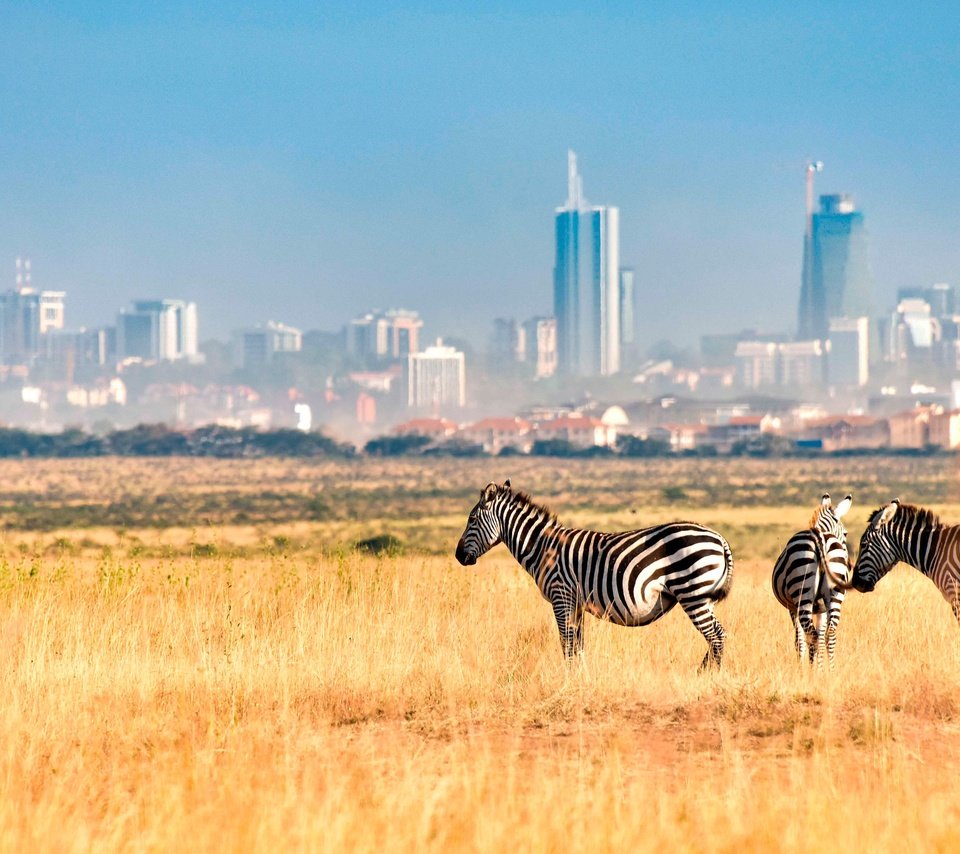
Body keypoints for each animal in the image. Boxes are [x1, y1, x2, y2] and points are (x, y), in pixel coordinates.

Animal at [452, 482, 736, 668]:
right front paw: (581, 676)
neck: (542, 547)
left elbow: (566, 642)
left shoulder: (561, 596)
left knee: (716, 636)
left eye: (472, 519)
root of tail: (719, 537)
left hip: (692, 593)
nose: (457, 556)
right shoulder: (575, 602)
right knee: (718, 635)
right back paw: (704, 673)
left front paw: (569, 678)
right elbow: (578, 644)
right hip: (702, 597)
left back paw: (708, 676)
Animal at [772, 494, 856, 668]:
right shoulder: (822, 608)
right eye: (845, 534)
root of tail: (820, 537)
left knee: (812, 635)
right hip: (834, 594)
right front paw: (821, 667)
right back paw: (831, 670)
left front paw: (803, 668)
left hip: (802, 592)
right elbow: (821, 634)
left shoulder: (792, 608)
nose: (850, 565)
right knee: (829, 634)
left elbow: (799, 640)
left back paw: (810, 671)